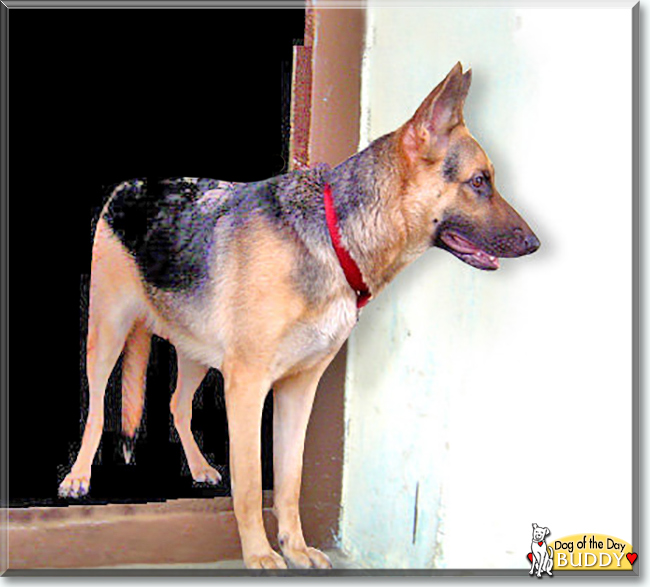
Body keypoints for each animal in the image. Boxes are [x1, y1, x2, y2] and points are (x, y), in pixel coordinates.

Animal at [59, 64, 536, 568]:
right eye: (479, 181)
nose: (535, 243)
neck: (335, 235)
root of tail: (128, 185)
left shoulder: (297, 390)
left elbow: (290, 478)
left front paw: (295, 547)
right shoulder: (247, 388)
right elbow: (251, 484)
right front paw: (259, 555)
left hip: (195, 354)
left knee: (176, 405)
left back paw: (200, 466)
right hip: (106, 336)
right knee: (96, 410)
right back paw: (78, 477)